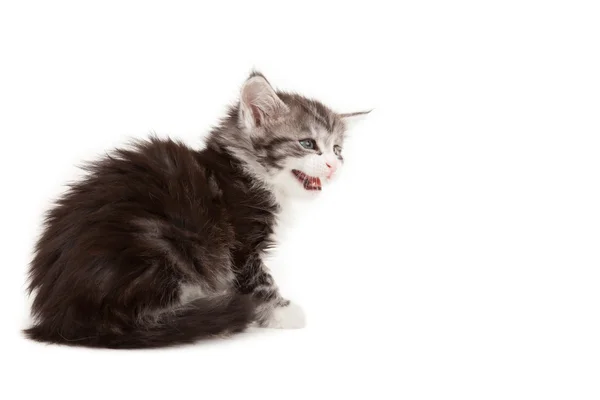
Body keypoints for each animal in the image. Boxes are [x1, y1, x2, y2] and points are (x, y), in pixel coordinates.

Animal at [24, 72, 366, 346]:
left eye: (338, 149)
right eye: (308, 144)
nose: (334, 166)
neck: (247, 170)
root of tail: (63, 316)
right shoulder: (240, 243)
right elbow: (258, 278)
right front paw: (282, 311)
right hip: (162, 243)